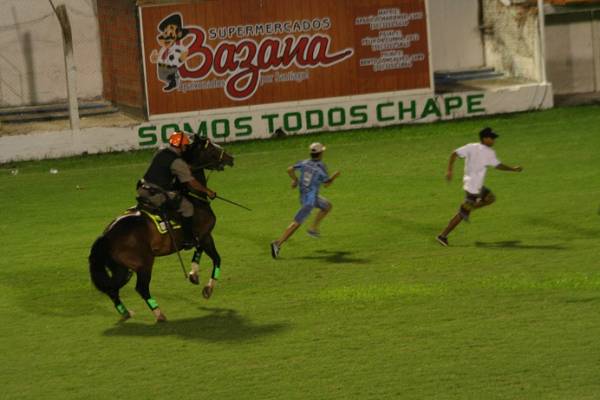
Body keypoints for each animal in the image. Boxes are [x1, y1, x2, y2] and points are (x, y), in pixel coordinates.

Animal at [89, 137, 234, 322]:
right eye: (212, 149)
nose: (230, 158)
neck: (194, 198)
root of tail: (106, 236)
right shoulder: (204, 235)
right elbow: (216, 259)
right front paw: (207, 288)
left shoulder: (201, 237)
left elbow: (198, 251)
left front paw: (193, 274)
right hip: (143, 264)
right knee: (141, 288)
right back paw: (159, 314)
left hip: (122, 269)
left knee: (112, 288)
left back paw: (126, 312)